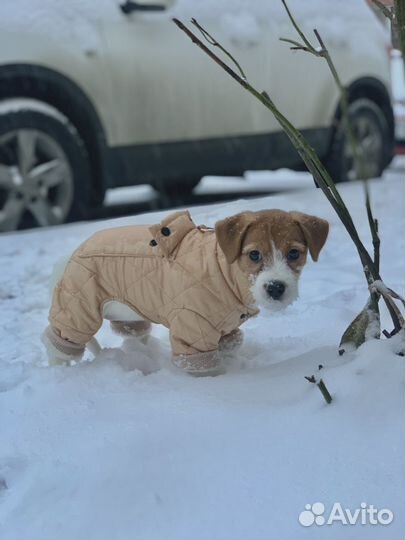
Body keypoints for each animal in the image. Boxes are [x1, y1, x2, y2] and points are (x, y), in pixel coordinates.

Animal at [43, 209, 328, 374]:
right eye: (254, 254)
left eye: (294, 254)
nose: (275, 287)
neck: (223, 270)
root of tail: (70, 257)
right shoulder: (193, 331)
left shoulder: (225, 330)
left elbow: (231, 344)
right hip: (78, 312)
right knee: (57, 342)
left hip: (129, 314)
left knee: (134, 335)